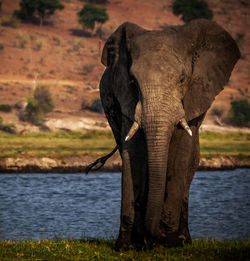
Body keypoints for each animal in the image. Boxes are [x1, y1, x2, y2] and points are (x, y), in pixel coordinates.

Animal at [94, 19, 240, 248]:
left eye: (182, 80)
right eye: (133, 82)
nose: (157, 235)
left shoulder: (193, 98)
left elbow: (181, 150)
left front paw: (170, 242)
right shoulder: (125, 99)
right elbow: (133, 152)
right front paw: (127, 247)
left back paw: (182, 239)